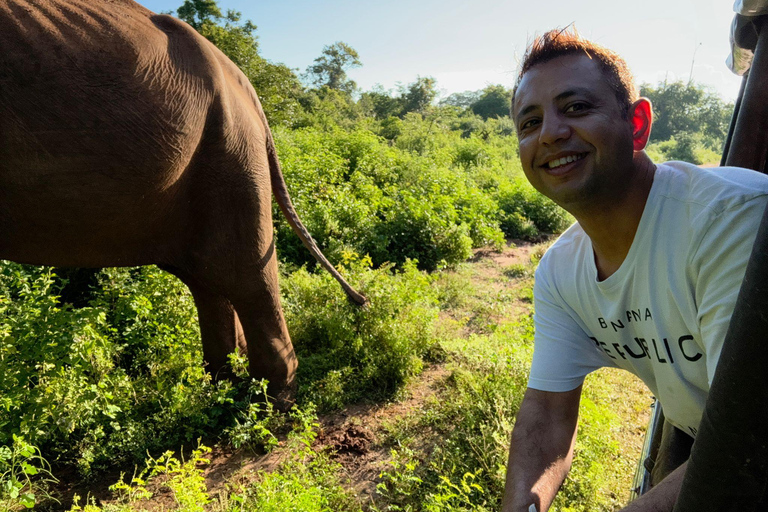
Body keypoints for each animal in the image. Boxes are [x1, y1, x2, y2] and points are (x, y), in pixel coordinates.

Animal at [0, 0, 366, 404]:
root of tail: (250, 92)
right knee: (207, 278)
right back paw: (224, 390)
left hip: (233, 151)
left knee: (247, 278)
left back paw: (270, 401)